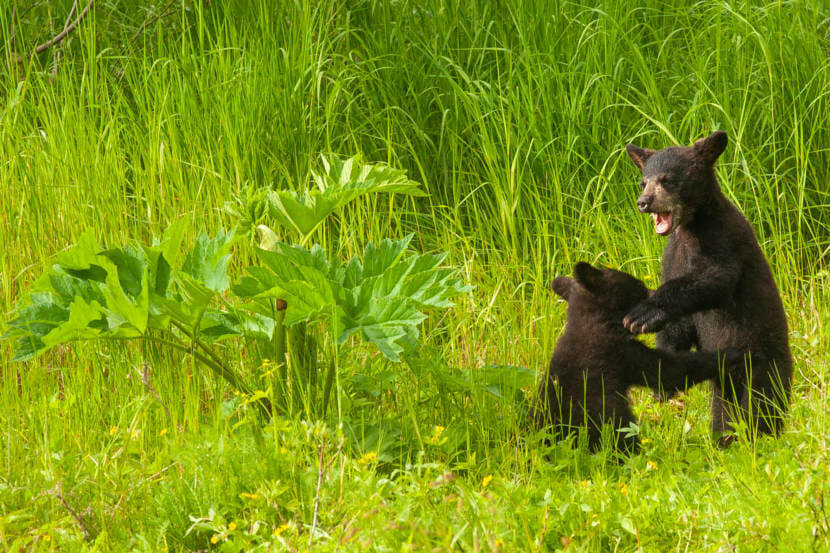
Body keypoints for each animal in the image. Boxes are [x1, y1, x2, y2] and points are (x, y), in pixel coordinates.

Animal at [534, 262, 742, 453]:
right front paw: (729, 354)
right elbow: (669, 370)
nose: (654, 291)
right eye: (640, 286)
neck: (593, 321)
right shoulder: (620, 352)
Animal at [623, 130, 792, 443]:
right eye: (643, 181)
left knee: (760, 409)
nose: (644, 201)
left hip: (764, 368)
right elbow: (682, 323)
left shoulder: (725, 240)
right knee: (724, 416)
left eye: (667, 179)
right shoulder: (672, 255)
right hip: (723, 391)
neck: (691, 227)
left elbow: (714, 279)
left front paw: (644, 313)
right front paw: (662, 380)